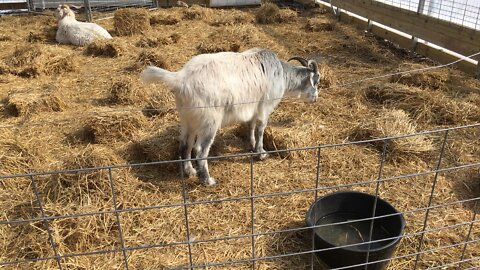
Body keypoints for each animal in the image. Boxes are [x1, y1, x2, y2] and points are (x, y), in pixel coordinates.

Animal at [142, 48, 322, 186]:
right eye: (317, 80)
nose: (315, 98)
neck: (281, 73)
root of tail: (180, 79)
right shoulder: (265, 107)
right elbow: (260, 129)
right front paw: (261, 153)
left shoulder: (253, 106)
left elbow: (250, 125)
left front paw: (251, 144)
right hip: (209, 121)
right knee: (200, 149)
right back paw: (207, 180)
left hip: (188, 119)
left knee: (185, 144)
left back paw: (189, 171)